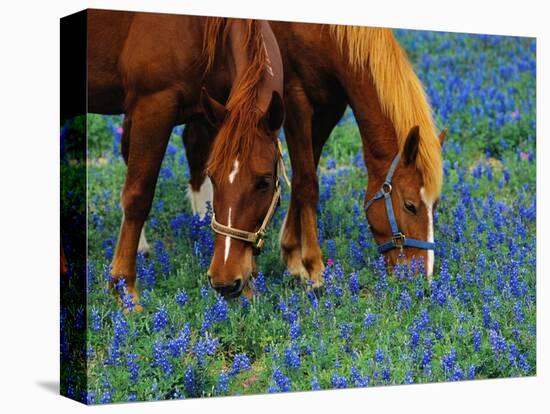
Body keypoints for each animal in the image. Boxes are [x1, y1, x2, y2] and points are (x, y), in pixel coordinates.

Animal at [88, 10, 286, 308]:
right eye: (215, 178)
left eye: (264, 181)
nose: (225, 282)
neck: (198, 25)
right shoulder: (153, 105)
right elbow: (138, 195)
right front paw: (123, 288)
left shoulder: (213, 111)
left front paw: (251, 285)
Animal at [183, 22, 446, 288]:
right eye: (410, 206)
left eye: (435, 206)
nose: (422, 277)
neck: (327, 31)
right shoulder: (294, 97)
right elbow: (307, 182)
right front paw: (314, 266)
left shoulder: (330, 104)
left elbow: (305, 174)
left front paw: (292, 254)